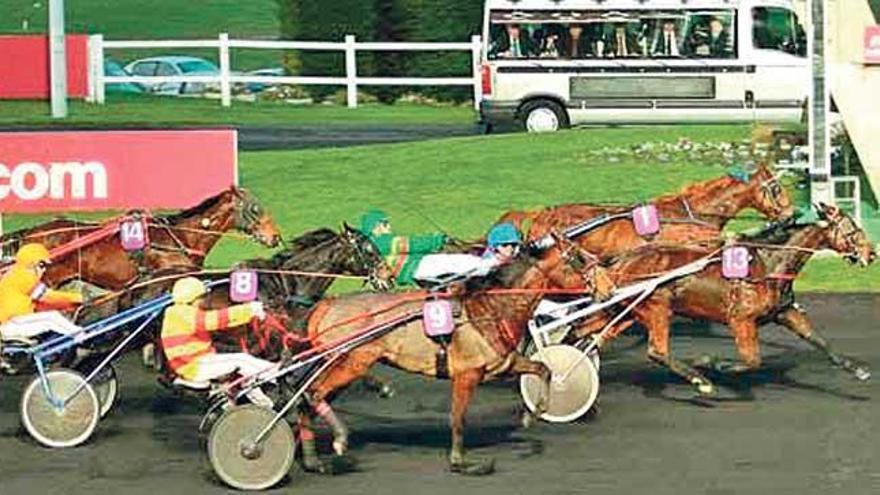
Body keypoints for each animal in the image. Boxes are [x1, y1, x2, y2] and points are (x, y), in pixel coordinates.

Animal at [296, 248, 612, 476]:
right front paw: (462, 462)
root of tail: (326, 304)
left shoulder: (503, 364)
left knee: (306, 401)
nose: (608, 290)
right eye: (580, 259)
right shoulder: (467, 375)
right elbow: (458, 418)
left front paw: (532, 412)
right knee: (312, 395)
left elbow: (543, 369)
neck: (490, 309)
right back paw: (339, 438)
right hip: (351, 362)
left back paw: (313, 460)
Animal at [576, 202, 872, 396]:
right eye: (853, 228)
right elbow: (752, 360)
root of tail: (622, 259)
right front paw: (709, 362)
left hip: (621, 310)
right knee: (657, 351)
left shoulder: (784, 312)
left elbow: (819, 340)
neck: (767, 263)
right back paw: (700, 381)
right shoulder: (741, 319)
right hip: (657, 308)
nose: (871, 253)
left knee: (584, 333)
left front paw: (858, 370)